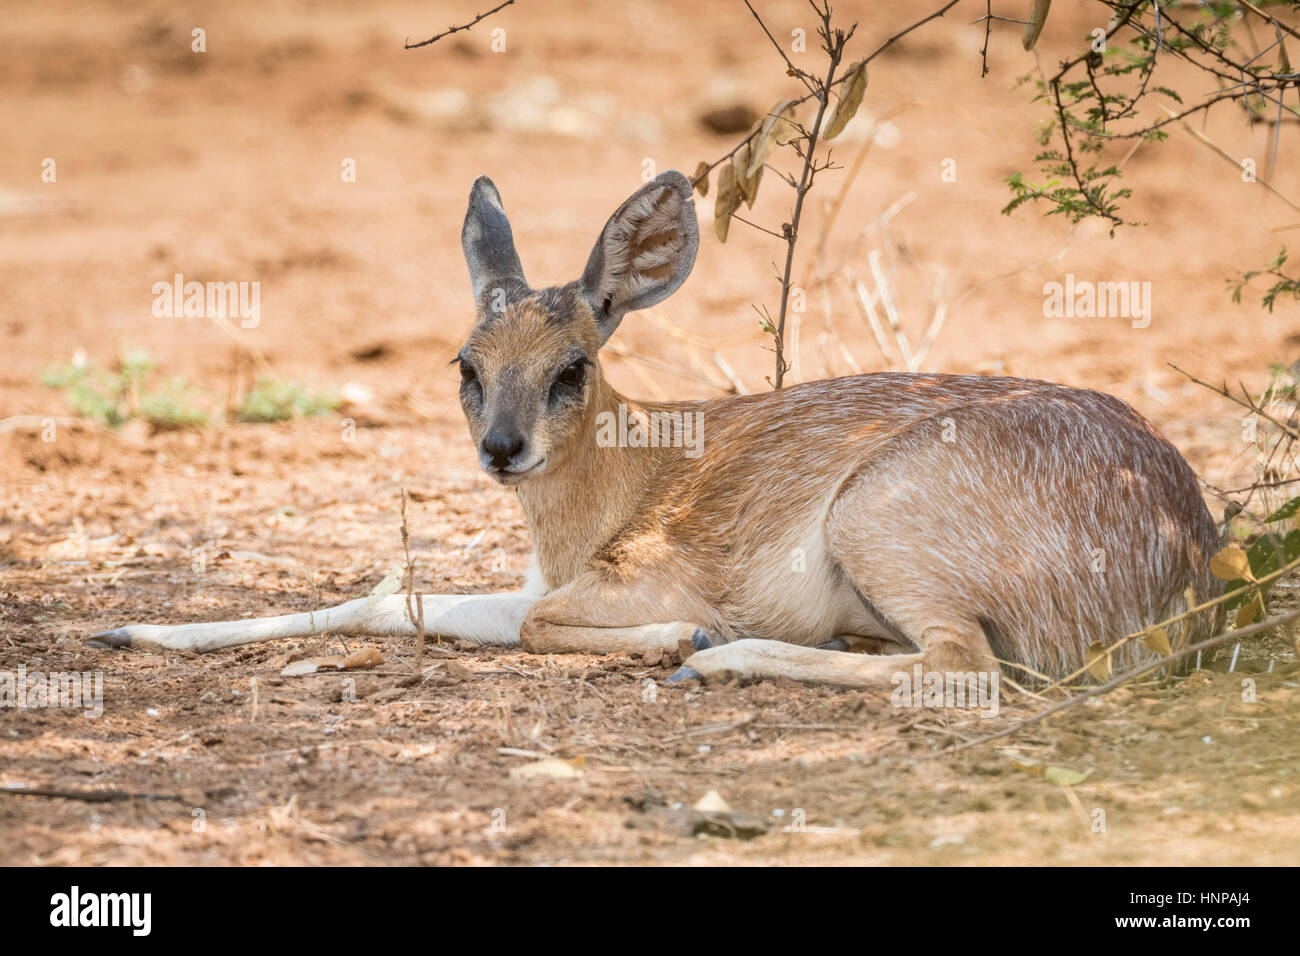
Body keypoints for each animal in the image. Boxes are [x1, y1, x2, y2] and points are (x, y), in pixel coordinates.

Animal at [89, 171, 1216, 686]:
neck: (609, 500)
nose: (503, 449)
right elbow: (389, 599)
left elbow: (537, 625)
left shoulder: (630, 581)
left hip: (879, 524)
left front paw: (685, 634)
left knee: (960, 664)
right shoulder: (535, 584)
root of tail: (1188, 560)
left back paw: (715, 657)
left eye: (571, 367)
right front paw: (126, 627)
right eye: (466, 366)